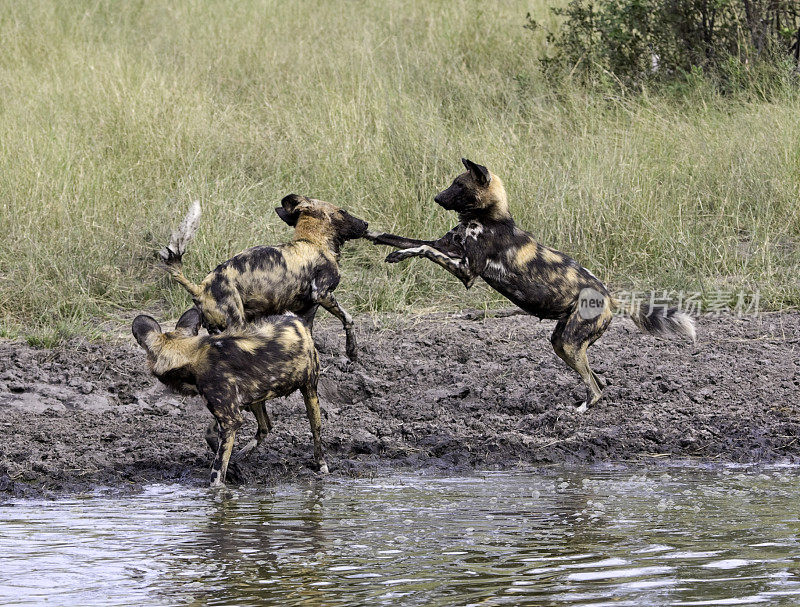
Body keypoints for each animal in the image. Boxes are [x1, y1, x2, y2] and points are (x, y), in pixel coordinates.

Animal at [133, 308, 326, 490]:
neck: (190, 356)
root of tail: (296, 319)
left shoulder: (230, 419)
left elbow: (217, 472)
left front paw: (219, 488)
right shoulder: (228, 412)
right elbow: (211, 437)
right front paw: (233, 466)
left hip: (309, 392)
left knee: (315, 431)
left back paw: (322, 465)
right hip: (255, 397)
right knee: (265, 427)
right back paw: (243, 455)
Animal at [160, 196, 372, 360]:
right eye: (342, 211)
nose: (366, 224)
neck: (313, 242)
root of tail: (201, 288)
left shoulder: (307, 311)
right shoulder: (322, 293)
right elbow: (349, 319)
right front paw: (352, 352)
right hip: (236, 324)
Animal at [368, 159, 692, 414]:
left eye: (458, 185)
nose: (436, 198)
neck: (487, 217)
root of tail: (611, 298)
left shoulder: (466, 271)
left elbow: (423, 248)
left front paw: (399, 253)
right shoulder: (447, 246)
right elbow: (402, 239)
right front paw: (374, 235)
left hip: (569, 343)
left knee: (596, 388)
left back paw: (578, 411)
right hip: (563, 343)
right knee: (599, 381)